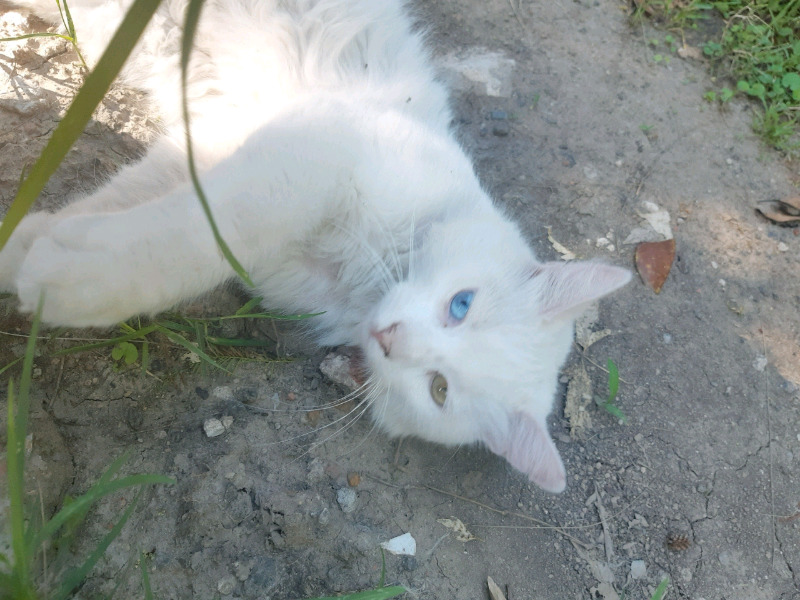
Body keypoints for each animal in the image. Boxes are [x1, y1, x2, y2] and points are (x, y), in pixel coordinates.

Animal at [0, 0, 632, 492]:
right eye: (462, 304)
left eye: (439, 390)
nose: (390, 337)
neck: (363, 283)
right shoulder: (305, 162)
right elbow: (199, 231)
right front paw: (56, 269)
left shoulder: (225, 158)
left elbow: (139, 210)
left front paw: (30, 248)